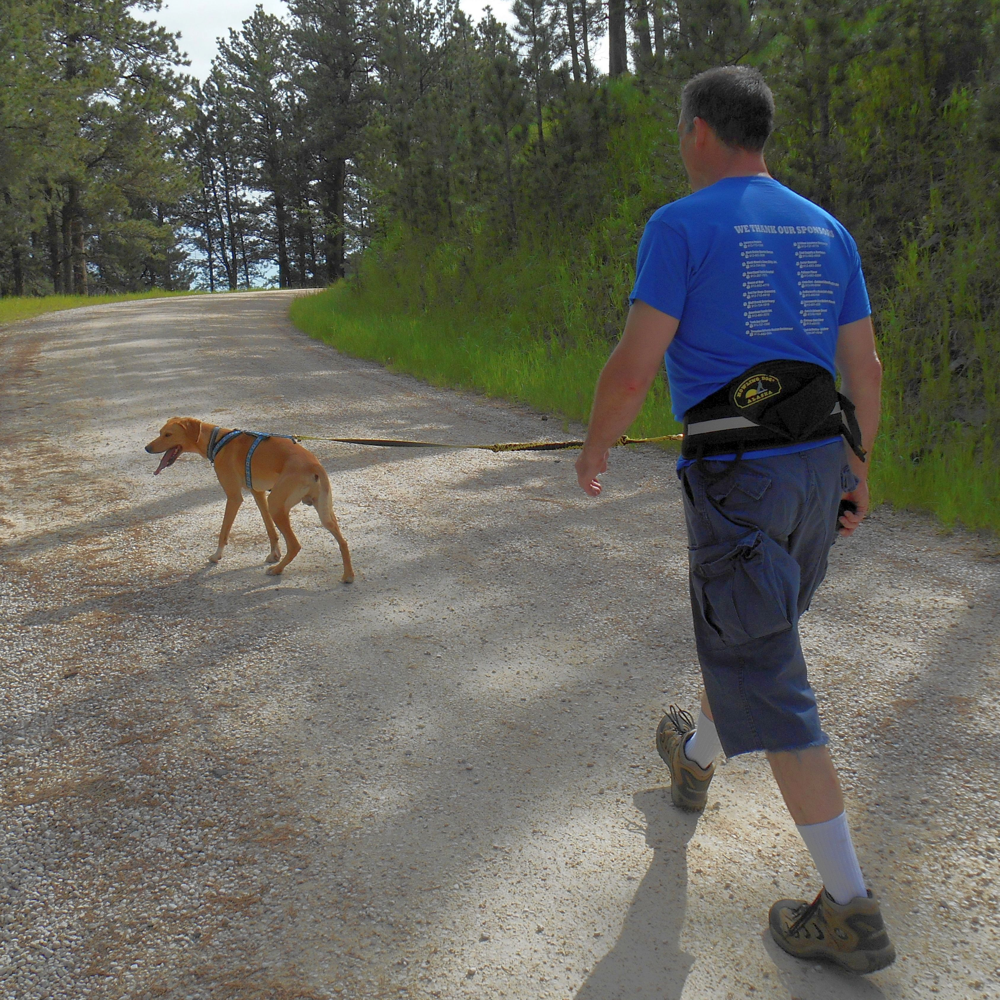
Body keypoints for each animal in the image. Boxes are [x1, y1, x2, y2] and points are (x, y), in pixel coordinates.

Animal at [146, 416, 356, 584]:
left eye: (168, 435)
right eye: (160, 433)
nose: (147, 448)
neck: (218, 441)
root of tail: (314, 466)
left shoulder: (234, 497)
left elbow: (224, 531)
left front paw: (217, 556)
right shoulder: (258, 494)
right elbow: (270, 530)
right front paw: (274, 554)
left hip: (277, 505)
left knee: (295, 545)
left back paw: (277, 570)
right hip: (319, 512)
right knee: (343, 542)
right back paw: (348, 575)